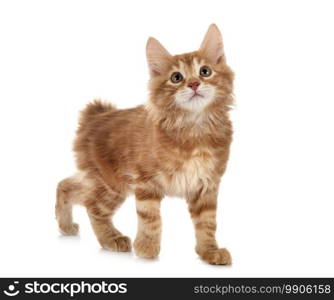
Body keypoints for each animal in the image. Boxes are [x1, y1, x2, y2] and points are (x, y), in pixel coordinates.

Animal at [56, 24, 234, 264]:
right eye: (176, 77)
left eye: (205, 71)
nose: (194, 84)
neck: (194, 128)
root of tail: (96, 116)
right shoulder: (146, 181)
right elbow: (150, 219)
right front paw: (147, 247)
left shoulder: (207, 185)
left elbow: (207, 224)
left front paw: (209, 252)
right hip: (111, 183)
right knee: (92, 206)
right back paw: (111, 238)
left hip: (103, 180)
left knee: (66, 186)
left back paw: (66, 226)